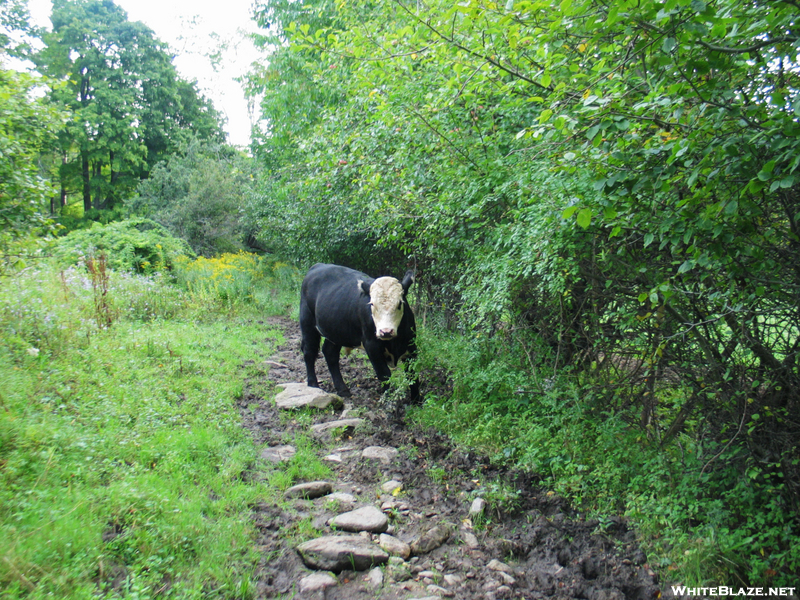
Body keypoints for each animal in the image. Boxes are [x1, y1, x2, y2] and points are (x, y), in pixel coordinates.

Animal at [300, 262, 422, 404]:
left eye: (399, 304)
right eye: (372, 304)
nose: (385, 332)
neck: (394, 342)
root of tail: (318, 265)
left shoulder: (411, 344)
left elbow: (413, 373)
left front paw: (416, 401)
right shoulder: (372, 346)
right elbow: (384, 374)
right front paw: (389, 402)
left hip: (336, 331)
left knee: (330, 353)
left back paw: (342, 389)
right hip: (307, 323)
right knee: (309, 351)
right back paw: (313, 385)